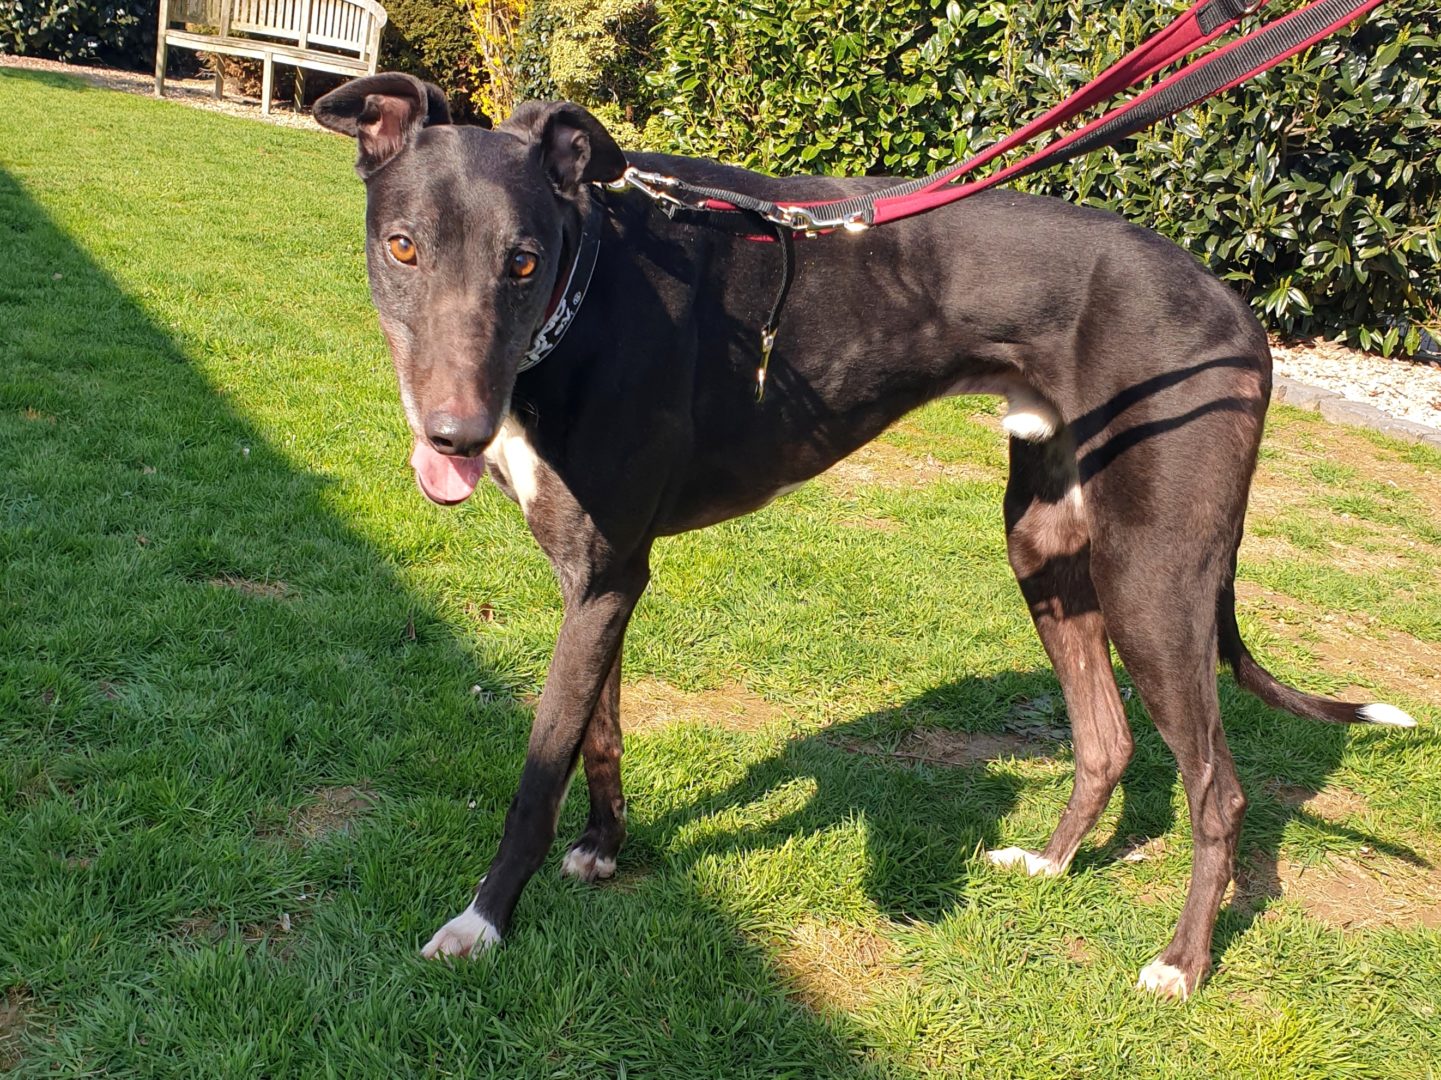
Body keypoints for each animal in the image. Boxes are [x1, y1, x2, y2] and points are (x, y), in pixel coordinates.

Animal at [313, 72, 1416, 1000]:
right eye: (403, 246)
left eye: (523, 260)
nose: (455, 437)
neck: (589, 293)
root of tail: (1241, 311)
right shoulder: (603, 575)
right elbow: (601, 732)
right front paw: (604, 849)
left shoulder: (606, 573)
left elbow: (538, 769)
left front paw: (484, 920)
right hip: (1046, 545)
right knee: (1104, 739)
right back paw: (1049, 861)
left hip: (1151, 577)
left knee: (1218, 791)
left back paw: (1179, 964)